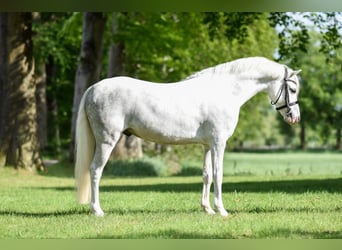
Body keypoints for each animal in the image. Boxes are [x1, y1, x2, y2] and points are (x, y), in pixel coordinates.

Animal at [74, 56, 300, 217]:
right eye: (293, 88)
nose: (294, 117)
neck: (226, 91)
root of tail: (93, 88)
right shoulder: (219, 143)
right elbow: (218, 174)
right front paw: (222, 210)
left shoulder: (207, 145)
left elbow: (207, 175)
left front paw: (207, 209)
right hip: (107, 141)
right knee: (95, 170)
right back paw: (97, 210)